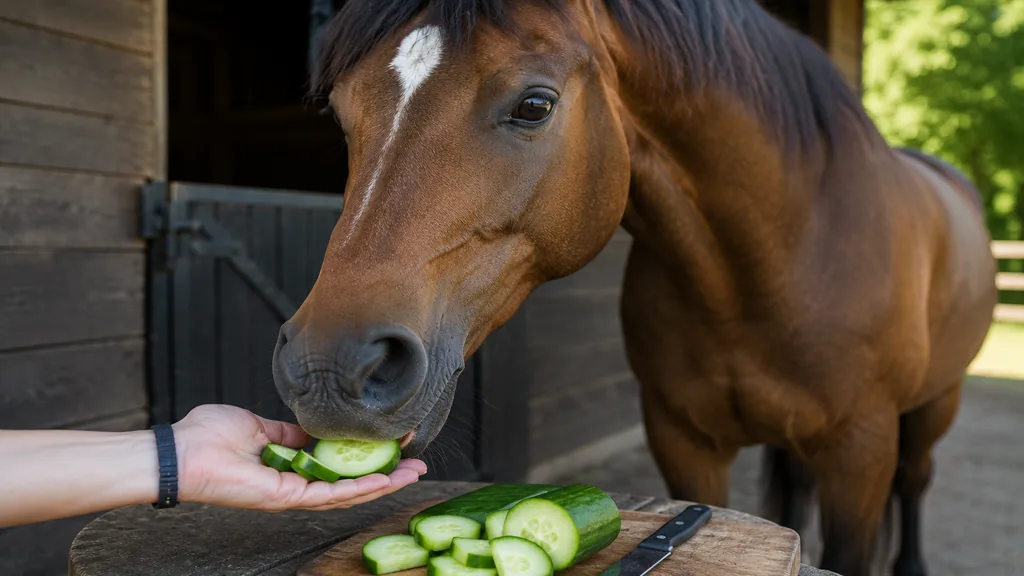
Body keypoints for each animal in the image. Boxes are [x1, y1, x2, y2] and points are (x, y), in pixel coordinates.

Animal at [270, 2, 998, 574]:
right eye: (343, 116)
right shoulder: (684, 442)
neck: (775, 263)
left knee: (916, 482)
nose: (328, 368)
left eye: (535, 105)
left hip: (934, 406)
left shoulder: (860, 454)